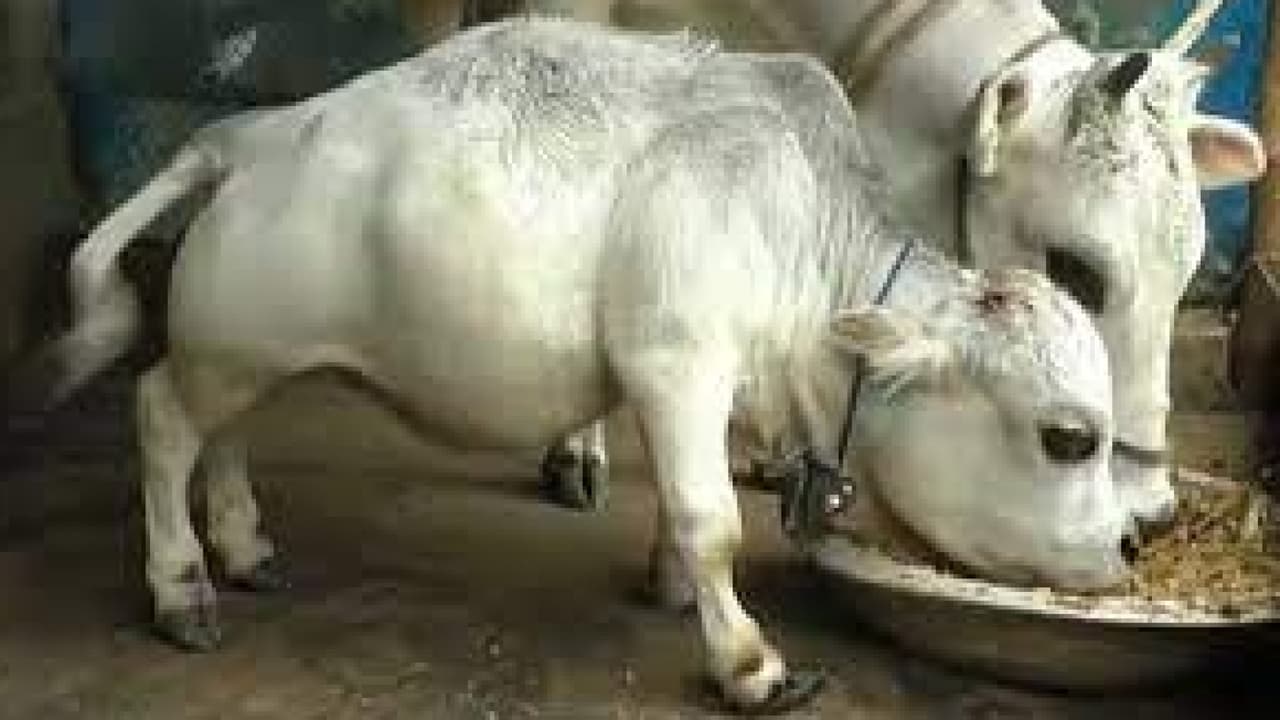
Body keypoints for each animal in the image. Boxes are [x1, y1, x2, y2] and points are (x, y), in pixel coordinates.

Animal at [46, 18, 1127, 712]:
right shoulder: (676, 361)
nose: (1127, 543)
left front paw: (672, 585)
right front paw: (747, 664)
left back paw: (242, 545)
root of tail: (243, 134)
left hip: (246, 352)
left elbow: (684, 515)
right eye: (1067, 437)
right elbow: (710, 521)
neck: (790, 223)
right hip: (228, 349)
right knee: (160, 419)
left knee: (224, 435)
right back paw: (182, 585)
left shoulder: (688, 384)